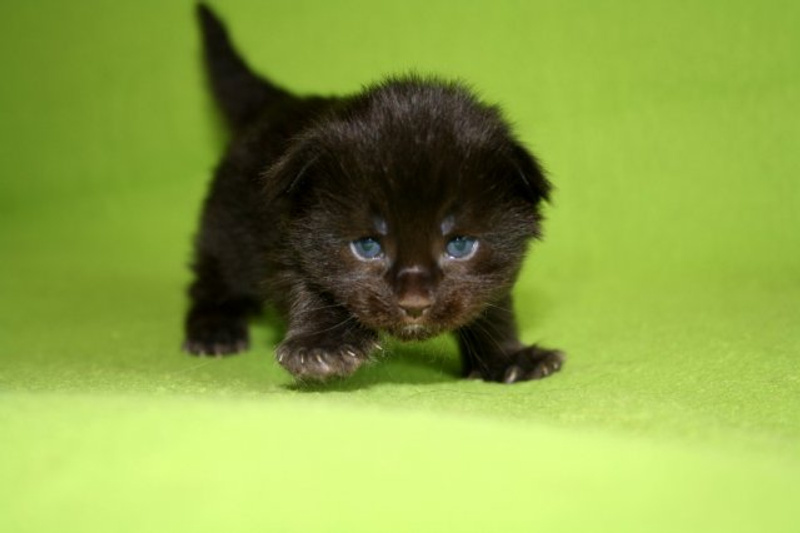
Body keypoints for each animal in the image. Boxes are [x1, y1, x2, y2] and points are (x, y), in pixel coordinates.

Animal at [184, 3, 565, 384]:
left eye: (460, 245)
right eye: (367, 246)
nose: (415, 303)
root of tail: (277, 103)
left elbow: (495, 308)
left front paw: (508, 357)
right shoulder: (286, 238)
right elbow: (307, 287)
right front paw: (323, 346)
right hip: (226, 228)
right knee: (213, 273)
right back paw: (213, 329)